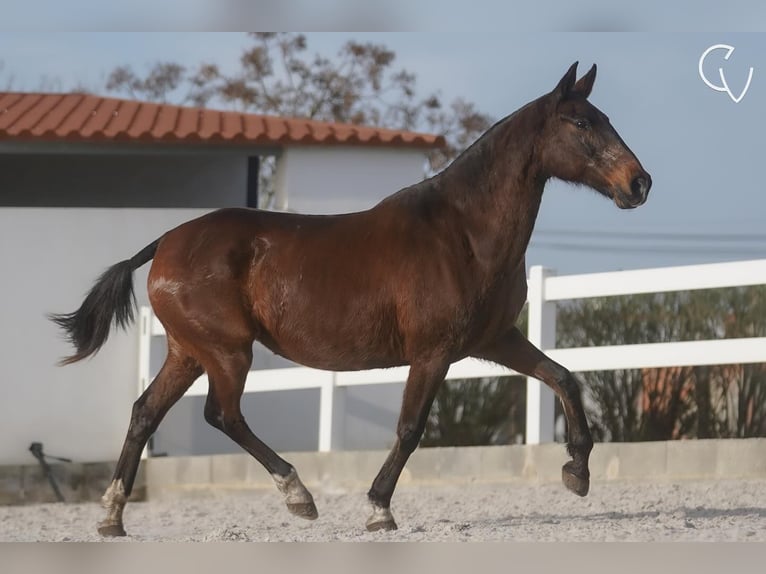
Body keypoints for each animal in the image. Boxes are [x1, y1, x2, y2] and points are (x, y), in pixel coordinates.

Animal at [52, 64, 656, 540]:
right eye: (581, 123)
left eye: (605, 118)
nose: (640, 183)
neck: (462, 232)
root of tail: (165, 243)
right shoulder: (434, 353)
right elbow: (410, 429)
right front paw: (378, 509)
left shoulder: (495, 340)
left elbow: (564, 377)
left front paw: (577, 471)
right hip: (226, 352)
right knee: (222, 414)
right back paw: (298, 495)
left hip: (186, 352)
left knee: (144, 413)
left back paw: (112, 517)